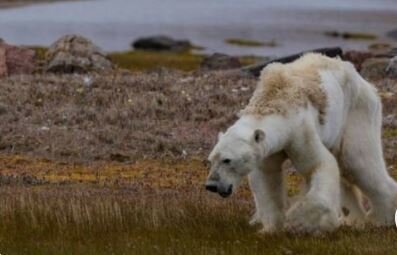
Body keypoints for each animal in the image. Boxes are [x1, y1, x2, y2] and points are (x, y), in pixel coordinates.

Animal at [204, 53, 396, 233]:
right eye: (211, 159)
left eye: (227, 160)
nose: (211, 185)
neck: (274, 100)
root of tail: (364, 81)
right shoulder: (268, 149)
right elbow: (267, 178)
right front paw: (270, 228)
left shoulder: (299, 131)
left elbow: (318, 165)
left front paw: (298, 220)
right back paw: (353, 219)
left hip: (356, 111)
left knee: (357, 160)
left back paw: (380, 218)